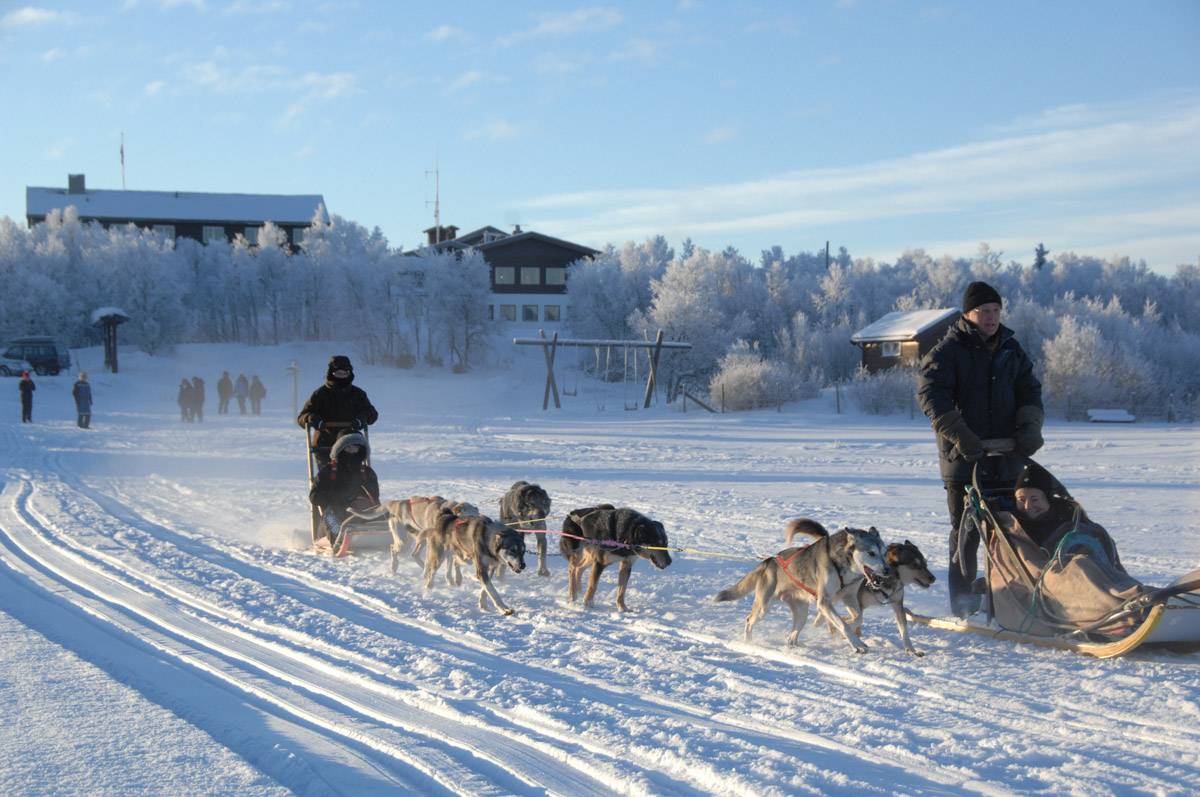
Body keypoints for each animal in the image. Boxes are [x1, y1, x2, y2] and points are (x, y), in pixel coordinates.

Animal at [710, 516, 892, 652]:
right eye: (871, 553)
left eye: (884, 553)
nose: (887, 570)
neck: (844, 565)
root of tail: (768, 561)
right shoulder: (824, 601)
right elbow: (843, 624)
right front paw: (856, 644)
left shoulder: (848, 596)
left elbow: (857, 618)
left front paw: (829, 625)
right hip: (763, 607)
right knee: (749, 620)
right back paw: (748, 643)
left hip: (801, 612)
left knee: (793, 634)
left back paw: (794, 645)